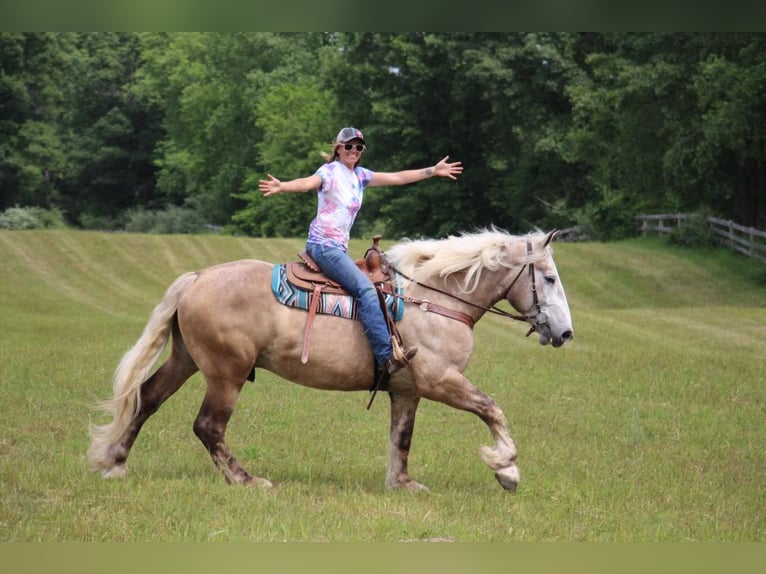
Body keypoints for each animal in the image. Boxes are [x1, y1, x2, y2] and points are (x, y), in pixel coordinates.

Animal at [87, 228, 572, 490]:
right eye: (548, 278)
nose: (565, 333)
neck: (433, 298)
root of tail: (197, 277)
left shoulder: (407, 390)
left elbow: (402, 438)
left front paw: (402, 484)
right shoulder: (439, 379)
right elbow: (492, 409)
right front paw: (506, 468)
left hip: (187, 360)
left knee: (147, 398)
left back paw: (115, 463)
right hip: (227, 374)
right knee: (208, 426)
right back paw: (246, 480)